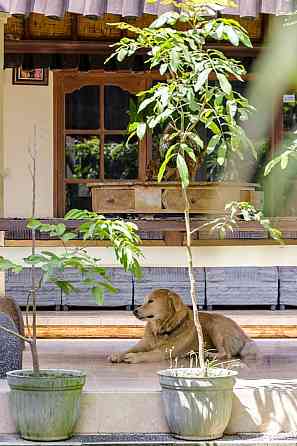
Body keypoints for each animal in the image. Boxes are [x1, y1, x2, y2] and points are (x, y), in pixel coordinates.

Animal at [108, 288, 256, 364]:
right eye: (144, 301)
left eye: (151, 301)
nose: (134, 311)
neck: (161, 329)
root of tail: (243, 334)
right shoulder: (143, 344)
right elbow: (129, 349)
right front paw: (118, 355)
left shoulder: (164, 352)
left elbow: (149, 353)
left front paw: (134, 357)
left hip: (215, 327)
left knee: (227, 354)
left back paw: (207, 355)